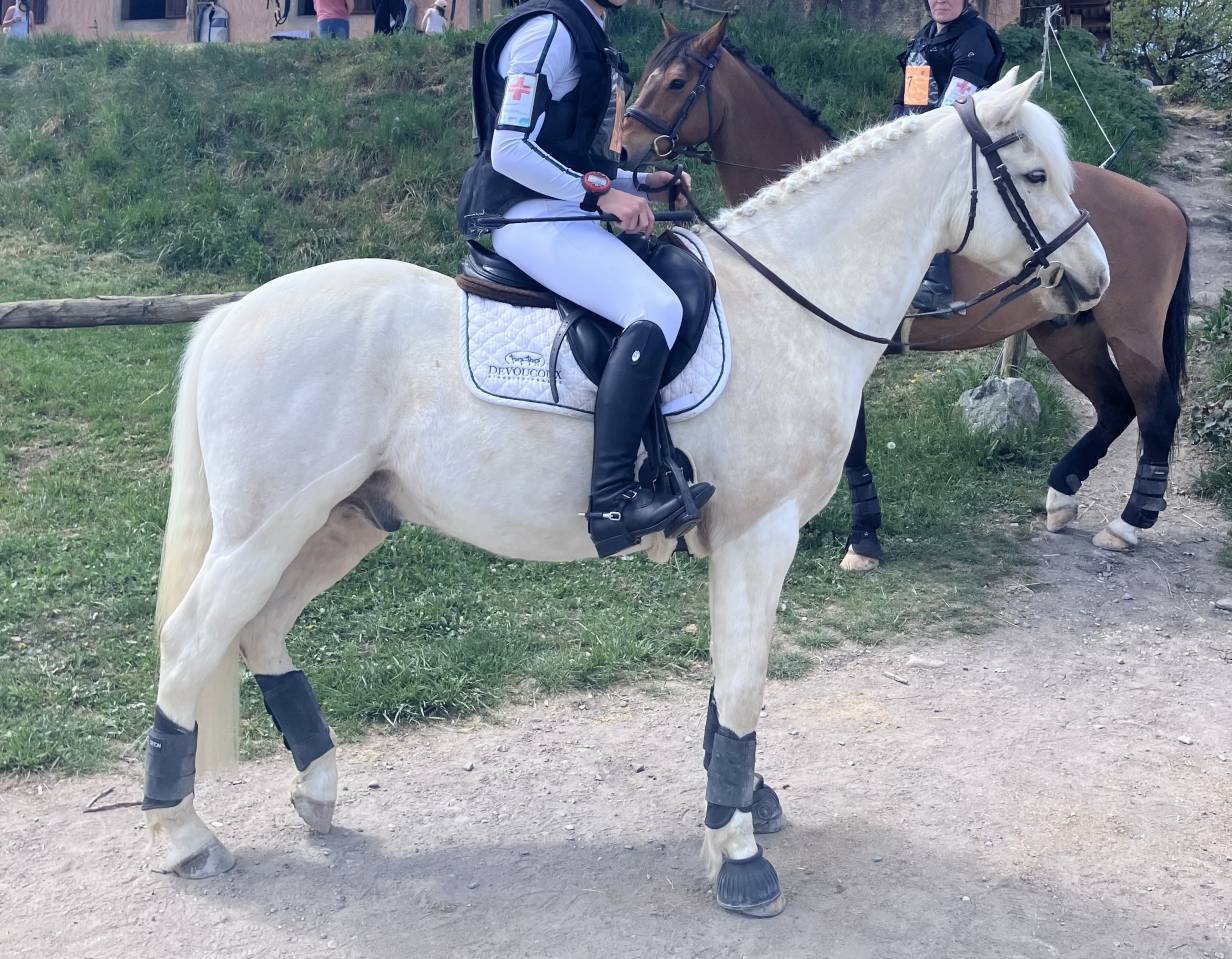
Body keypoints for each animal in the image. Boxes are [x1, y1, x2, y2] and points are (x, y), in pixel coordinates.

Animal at [143, 75, 1107, 918]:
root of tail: (232, 314)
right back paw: (184, 835)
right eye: (1033, 176)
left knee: (259, 630)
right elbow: (746, 679)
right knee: (193, 640)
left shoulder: (742, 539)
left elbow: (727, 678)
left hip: (343, 521)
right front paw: (738, 857)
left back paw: (317, 789)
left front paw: (743, 800)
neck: (791, 302)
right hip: (267, 529)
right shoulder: (763, 531)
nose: (1096, 277)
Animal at [623, 15, 1190, 570]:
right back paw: (1063, 495)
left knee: (1156, 409)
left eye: (676, 82)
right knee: (1115, 406)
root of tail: (1165, 205)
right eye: (649, 73)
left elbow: (853, 445)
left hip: (1130, 336)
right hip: (1067, 331)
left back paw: (1129, 523)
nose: (625, 146)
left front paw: (863, 537)